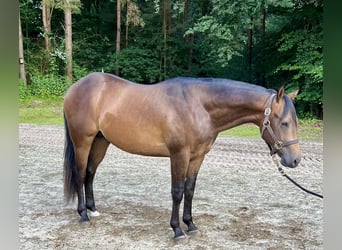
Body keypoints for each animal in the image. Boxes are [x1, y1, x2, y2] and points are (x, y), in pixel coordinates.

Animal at [62, 72, 300, 238]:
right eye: (284, 122)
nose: (295, 160)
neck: (199, 106)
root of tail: (74, 88)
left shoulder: (197, 157)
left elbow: (189, 190)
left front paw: (191, 224)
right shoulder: (179, 155)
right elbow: (177, 192)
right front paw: (177, 230)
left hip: (100, 142)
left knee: (90, 174)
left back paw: (93, 209)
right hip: (83, 142)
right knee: (80, 173)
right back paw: (83, 214)